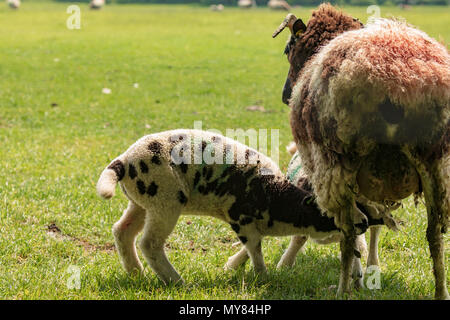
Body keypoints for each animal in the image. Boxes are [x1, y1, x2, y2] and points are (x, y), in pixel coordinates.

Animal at [96, 129, 390, 284]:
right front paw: (263, 276)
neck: (278, 200)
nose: (366, 222)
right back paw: (175, 281)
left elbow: (254, 246)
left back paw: (136, 274)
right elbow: (255, 248)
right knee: (150, 243)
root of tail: (124, 162)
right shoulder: (241, 219)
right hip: (165, 199)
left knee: (122, 231)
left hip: (142, 202)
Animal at [274, 4, 450, 300]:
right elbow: (374, 225)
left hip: (340, 162)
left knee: (346, 232)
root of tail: (399, 81)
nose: (286, 95)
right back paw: (440, 292)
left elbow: (359, 231)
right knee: (435, 233)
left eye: (288, 49)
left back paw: (342, 289)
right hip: (436, 163)